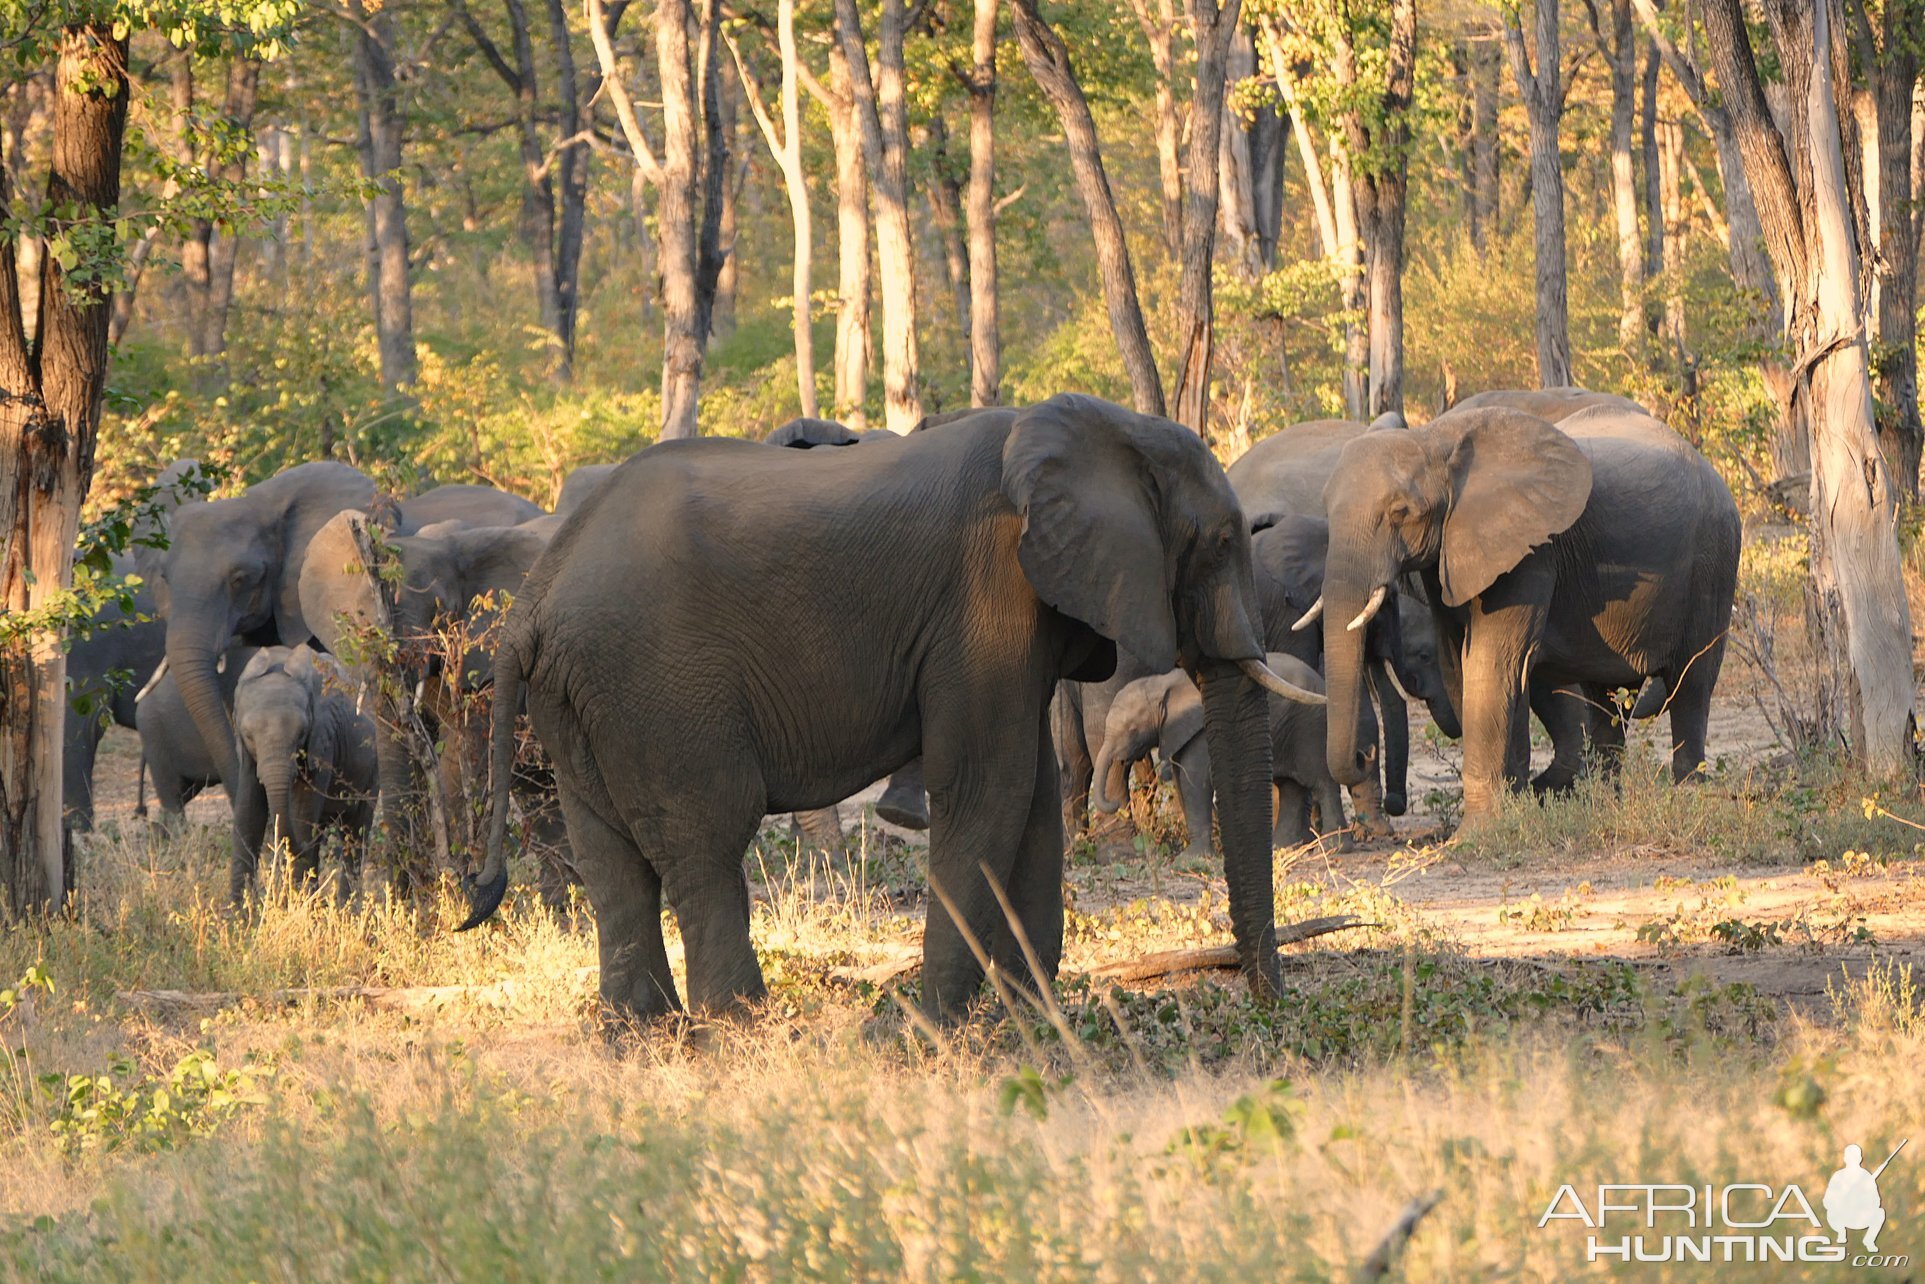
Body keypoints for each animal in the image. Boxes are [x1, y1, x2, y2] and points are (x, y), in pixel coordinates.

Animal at [230, 642, 379, 904]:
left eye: (301, 733)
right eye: (248, 735)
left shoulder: (323, 740)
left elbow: (302, 815)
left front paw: (300, 906)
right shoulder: (246, 755)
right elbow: (248, 812)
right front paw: (236, 914)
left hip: (372, 769)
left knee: (354, 833)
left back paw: (345, 908)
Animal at [462, 396, 1324, 1016]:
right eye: (1219, 543)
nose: (1265, 1007)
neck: (1100, 428)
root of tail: (533, 603)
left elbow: (1029, 794)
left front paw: (1030, 1016)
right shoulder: (985, 596)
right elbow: (989, 786)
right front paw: (931, 1028)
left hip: (583, 693)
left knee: (610, 857)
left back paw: (641, 1037)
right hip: (657, 685)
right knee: (704, 840)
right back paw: (738, 1029)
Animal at [1093, 658, 1378, 858]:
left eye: (1132, 729)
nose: (1114, 804)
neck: (1161, 684)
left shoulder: (1202, 730)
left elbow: (1195, 780)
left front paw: (1190, 860)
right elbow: (1181, 779)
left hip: (1310, 727)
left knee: (1320, 783)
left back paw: (1334, 849)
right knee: (1291, 787)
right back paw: (1281, 848)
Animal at [1316, 402, 1740, 823]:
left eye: (1401, 512)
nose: (1364, 754)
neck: (1434, 438)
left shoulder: (1531, 553)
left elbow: (1493, 662)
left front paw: (1479, 830)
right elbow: (1462, 667)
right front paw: (1512, 809)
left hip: (1714, 560)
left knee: (1691, 682)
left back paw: (1687, 797)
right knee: (1607, 698)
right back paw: (1601, 805)